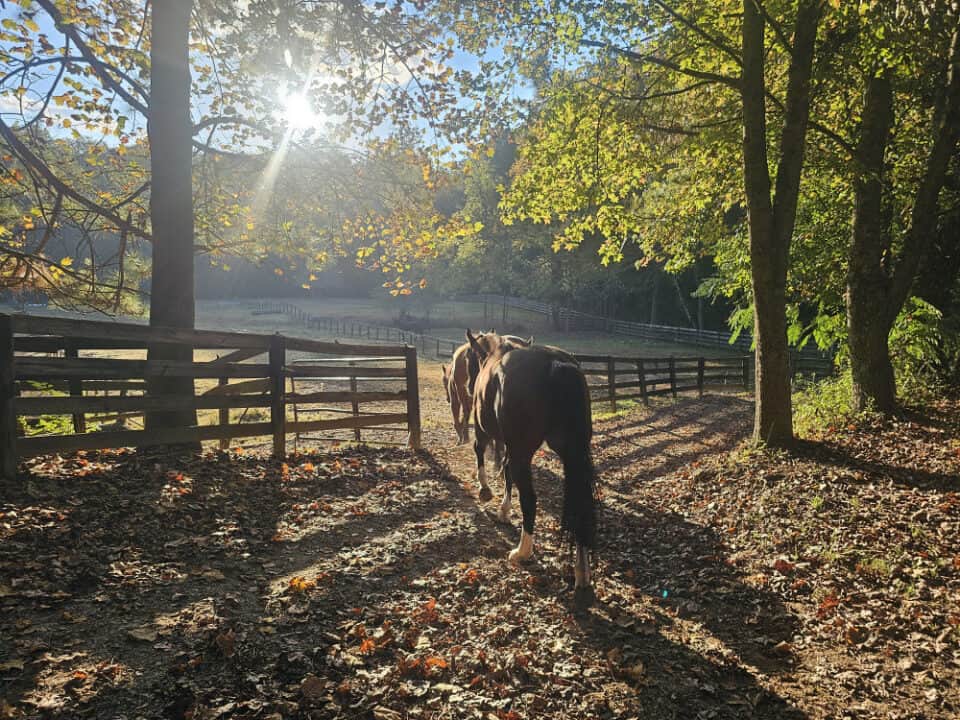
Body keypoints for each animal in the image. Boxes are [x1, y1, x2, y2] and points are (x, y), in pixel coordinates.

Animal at [466, 330, 597, 602]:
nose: (468, 387)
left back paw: (522, 552)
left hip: (524, 451)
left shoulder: (486, 433)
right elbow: (506, 473)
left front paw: (485, 491)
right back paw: (582, 572)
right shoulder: (511, 447)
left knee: (530, 499)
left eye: (470, 358)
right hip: (572, 453)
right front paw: (504, 510)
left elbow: (480, 452)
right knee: (580, 503)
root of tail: (556, 364)